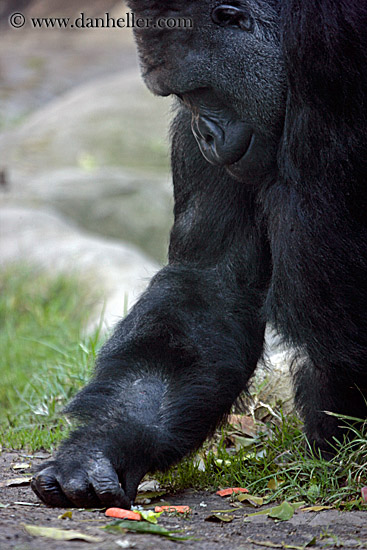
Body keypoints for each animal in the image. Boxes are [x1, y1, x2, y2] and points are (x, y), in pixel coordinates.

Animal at [31, 0, 367, 508]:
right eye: (182, 97)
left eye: (201, 90)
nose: (204, 134)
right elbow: (210, 285)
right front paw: (99, 447)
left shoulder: (328, 53)